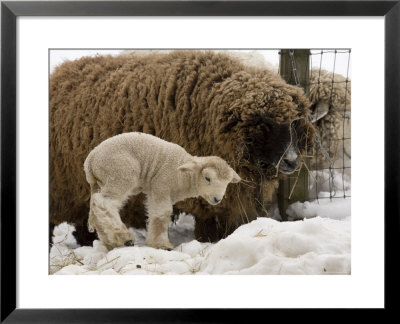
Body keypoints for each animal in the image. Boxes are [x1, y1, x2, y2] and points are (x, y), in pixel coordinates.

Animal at [83, 132, 241, 251]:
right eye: (207, 178)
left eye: (227, 182)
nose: (217, 199)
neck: (182, 175)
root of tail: (90, 160)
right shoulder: (161, 186)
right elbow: (162, 214)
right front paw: (162, 245)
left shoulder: (155, 191)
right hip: (120, 174)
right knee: (103, 202)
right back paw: (123, 237)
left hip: (102, 182)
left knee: (96, 208)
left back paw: (111, 242)